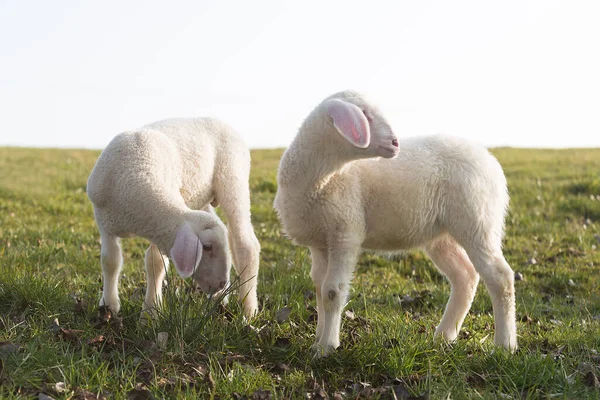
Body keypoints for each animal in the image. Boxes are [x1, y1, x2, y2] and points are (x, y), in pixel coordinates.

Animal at [88, 117, 262, 320]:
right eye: (207, 247)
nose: (221, 283)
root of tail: (221, 121)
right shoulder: (105, 222)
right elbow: (110, 261)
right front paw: (109, 306)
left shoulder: (161, 226)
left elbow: (155, 263)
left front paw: (150, 314)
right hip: (203, 196)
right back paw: (220, 299)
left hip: (233, 179)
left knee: (246, 244)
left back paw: (249, 309)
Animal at [274, 91, 516, 356]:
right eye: (365, 114)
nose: (395, 143)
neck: (323, 179)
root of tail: (489, 160)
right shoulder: (319, 241)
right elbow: (319, 289)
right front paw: (318, 339)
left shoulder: (345, 233)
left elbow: (332, 291)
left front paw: (327, 346)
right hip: (442, 236)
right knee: (465, 276)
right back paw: (444, 335)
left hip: (478, 220)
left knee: (501, 277)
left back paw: (504, 345)